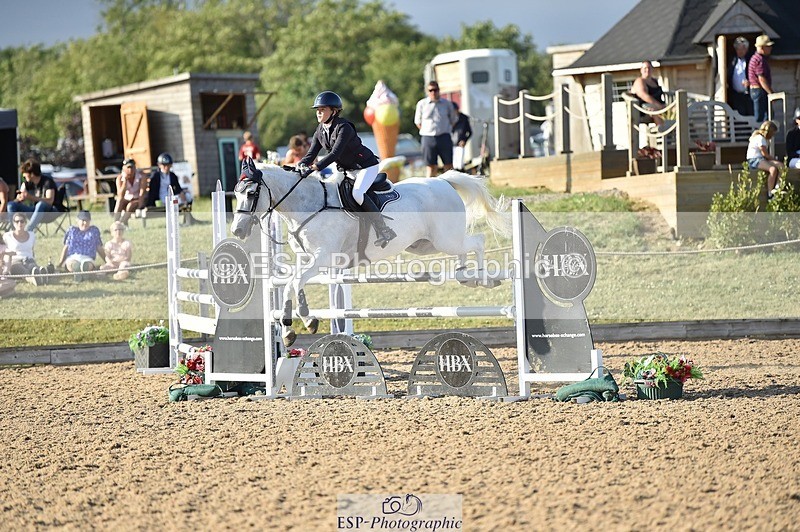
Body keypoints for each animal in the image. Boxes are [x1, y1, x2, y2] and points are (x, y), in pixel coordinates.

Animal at [230, 161, 508, 346]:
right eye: (236, 192)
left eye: (252, 193)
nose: (237, 230)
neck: (308, 204)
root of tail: (443, 181)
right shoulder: (308, 259)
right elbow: (294, 283)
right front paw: (302, 321)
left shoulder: (322, 258)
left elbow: (292, 283)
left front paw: (294, 328)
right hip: (426, 244)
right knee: (464, 248)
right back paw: (465, 275)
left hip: (444, 239)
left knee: (477, 241)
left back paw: (483, 278)